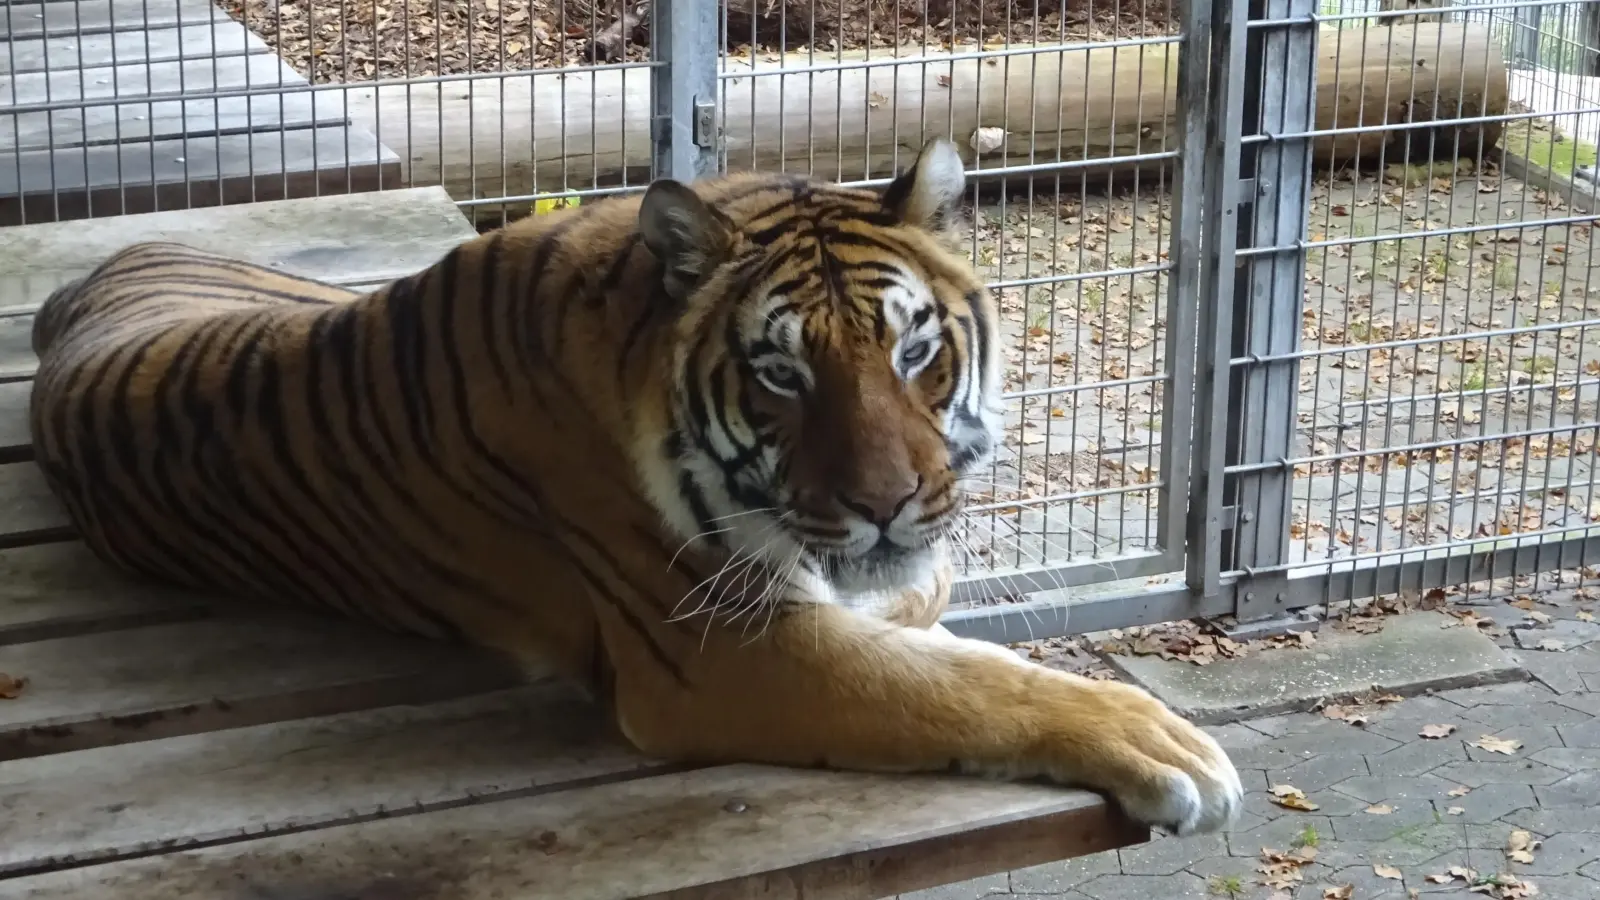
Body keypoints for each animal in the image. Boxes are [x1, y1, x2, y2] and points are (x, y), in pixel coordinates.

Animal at [29, 138, 1241, 835]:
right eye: (780, 375)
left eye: (912, 352)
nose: (888, 504)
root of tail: (103, 270)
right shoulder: (720, 652)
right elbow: (959, 684)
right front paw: (1161, 743)